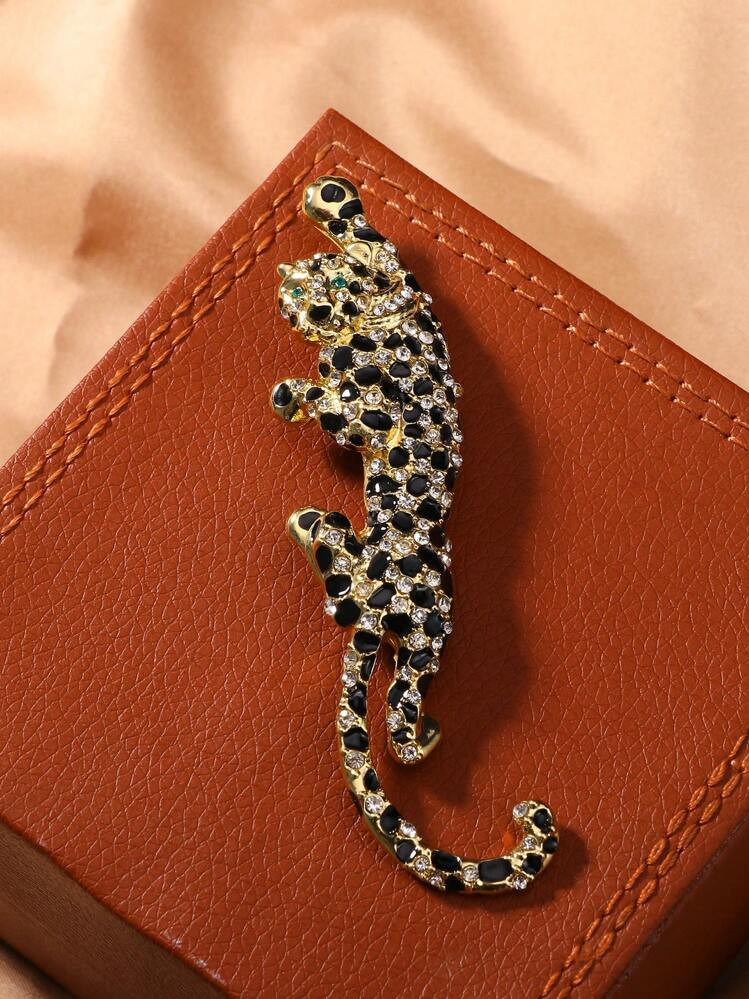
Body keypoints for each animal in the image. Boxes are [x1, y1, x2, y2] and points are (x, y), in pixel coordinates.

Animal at [270, 175, 558, 892]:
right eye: (301, 278)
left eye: (324, 293)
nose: (289, 301)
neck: (381, 315)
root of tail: (374, 606)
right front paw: (329, 200)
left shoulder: (371, 410)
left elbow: (338, 407)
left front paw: (293, 392)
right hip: (387, 612)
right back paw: (318, 530)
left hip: (425, 639)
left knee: (401, 712)